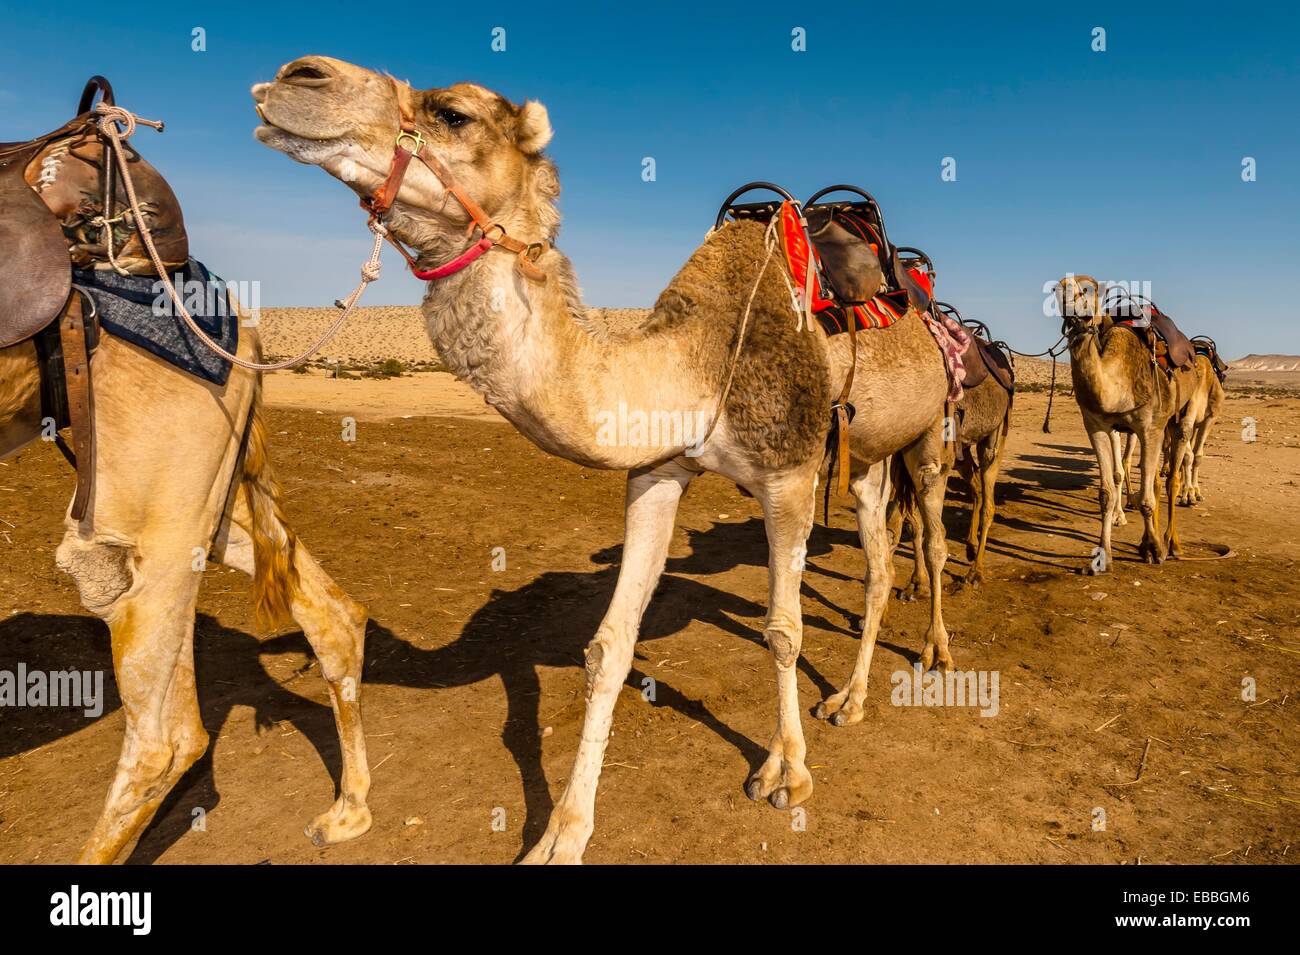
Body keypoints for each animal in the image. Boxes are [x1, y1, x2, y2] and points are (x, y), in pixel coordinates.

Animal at [253, 54, 955, 863]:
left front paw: (788, 773)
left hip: (931, 432)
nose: (296, 76)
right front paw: (563, 831)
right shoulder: (660, 469)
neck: (697, 356)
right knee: (878, 561)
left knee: (927, 539)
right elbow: (608, 646)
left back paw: (930, 655)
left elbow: (783, 630)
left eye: (454, 113)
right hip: (866, 455)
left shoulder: (786, 475)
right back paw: (851, 697)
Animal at [1056, 275, 1200, 570]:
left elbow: (1146, 499)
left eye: (1086, 289)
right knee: (1155, 480)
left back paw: (1172, 544)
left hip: (1181, 413)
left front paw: (1155, 550)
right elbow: (1107, 492)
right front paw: (1103, 556)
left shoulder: (1149, 427)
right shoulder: (1096, 426)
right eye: (1057, 289)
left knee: (1171, 478)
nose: (1068, 302)